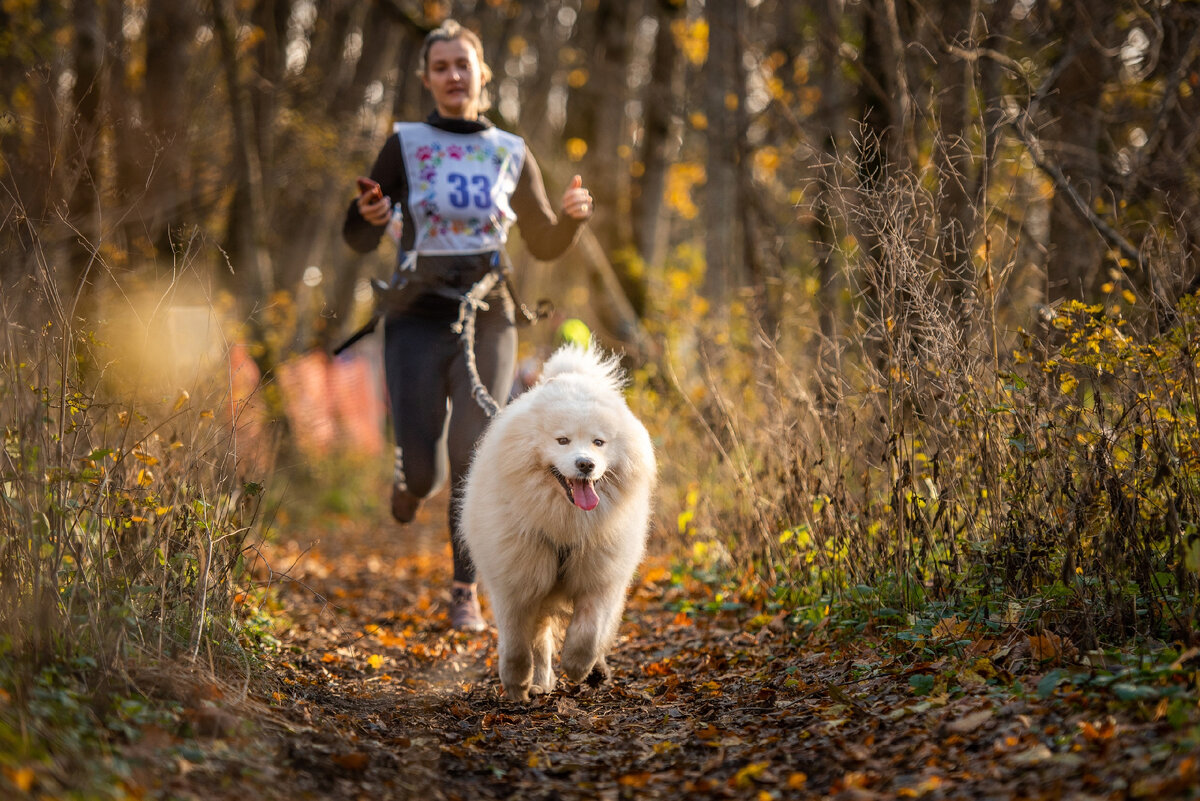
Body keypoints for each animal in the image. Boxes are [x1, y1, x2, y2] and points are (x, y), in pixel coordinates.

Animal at [458, 345, 657, 700]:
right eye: (562, 440)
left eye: (598, 442)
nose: (586, 464)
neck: (565, 524)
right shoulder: (516, 581)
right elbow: (516, 644)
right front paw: (516, 683)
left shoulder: (599, 575)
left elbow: (589, 632)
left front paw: (578, 666)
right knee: (539, 642)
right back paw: (539, 681)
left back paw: (594, 672)